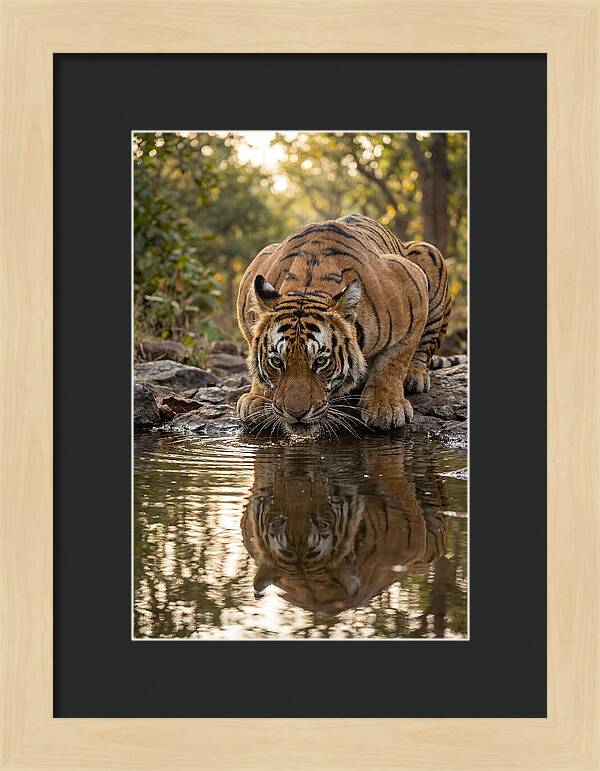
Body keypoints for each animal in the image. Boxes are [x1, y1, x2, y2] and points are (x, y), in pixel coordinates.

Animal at [236, 213, 454, 437]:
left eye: (320, 362)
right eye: (277, 362)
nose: (296, 413)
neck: (308, 286)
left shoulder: (412, 283)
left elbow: (394, 361)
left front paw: (386, 407)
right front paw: (257, 398)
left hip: (429, 253)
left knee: (424, 348)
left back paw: (414, 376)